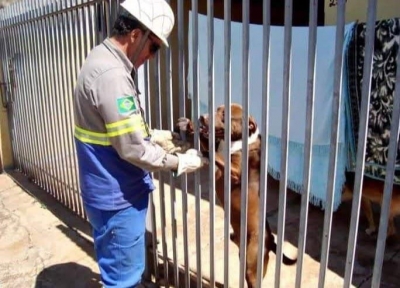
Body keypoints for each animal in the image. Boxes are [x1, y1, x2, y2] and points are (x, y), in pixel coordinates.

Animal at [178, 104, 296, 288]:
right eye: (217, 108)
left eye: (225, 114)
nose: (202, 117)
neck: (238, 142)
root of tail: (270, 239)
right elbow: (209, 143)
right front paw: (190, 125)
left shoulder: (234, 172)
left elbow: (216, 155)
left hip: (252, 266)